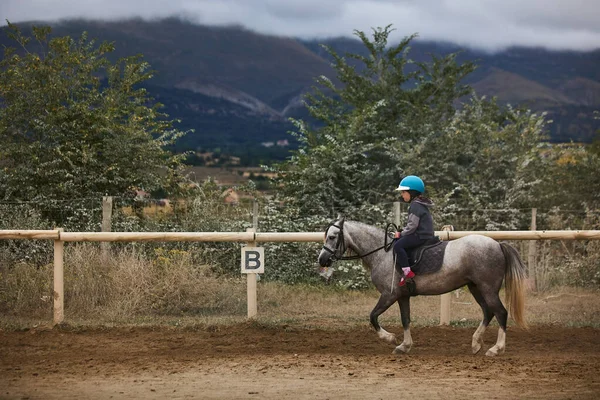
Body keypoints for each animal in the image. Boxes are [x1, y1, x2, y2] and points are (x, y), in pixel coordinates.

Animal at [316, 217, 528, 358]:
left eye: (333, 237)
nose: (322, 260)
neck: (383, 253)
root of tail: (497, 244)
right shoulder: (402, 296)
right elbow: (405, 319)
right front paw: (404, 346)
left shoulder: (389, 295)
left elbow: (373, 317)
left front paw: (390, 338)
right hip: (476, 288)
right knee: (488, 312)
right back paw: (476, 344)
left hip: (487, 289)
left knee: (500, 313)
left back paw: (496, 349)